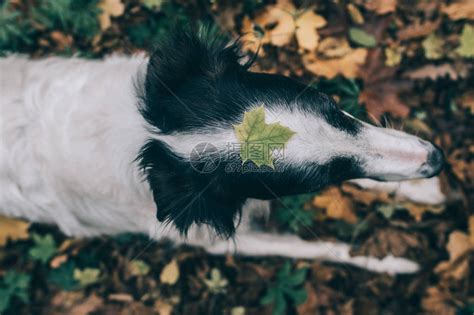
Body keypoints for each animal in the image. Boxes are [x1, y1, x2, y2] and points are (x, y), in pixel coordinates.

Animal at [0, 27, 444, 274]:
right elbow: (328, 248)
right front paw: (394, 265)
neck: (146, 139)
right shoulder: (218, 236)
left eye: (332, 107)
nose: (436, 159)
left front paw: (422, 192)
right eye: (322, 178)